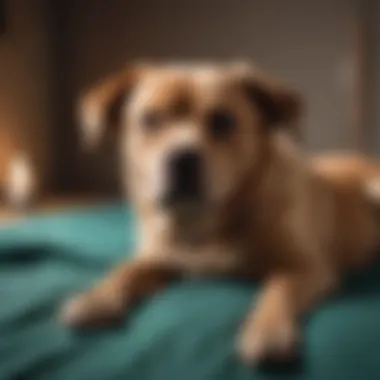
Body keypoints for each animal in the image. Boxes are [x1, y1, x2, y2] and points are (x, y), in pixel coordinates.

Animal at [60, 62, 380, 366]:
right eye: (150, 120)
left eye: (223, 121)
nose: (183, 159)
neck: (203, 224)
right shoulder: (158, 257)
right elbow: (126, 270)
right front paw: (98, 298)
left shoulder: (306, 267)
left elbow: (278, 289)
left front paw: (268, 331)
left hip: (374, 187)